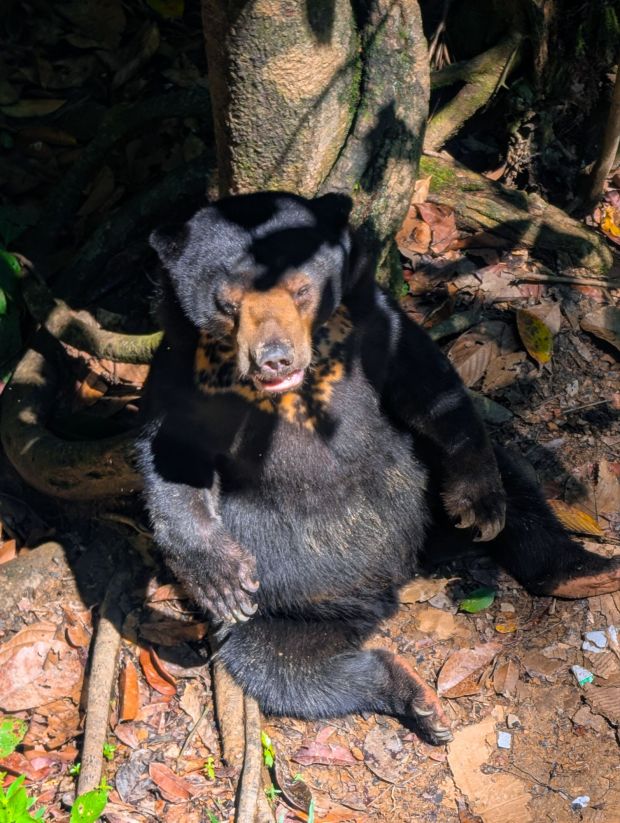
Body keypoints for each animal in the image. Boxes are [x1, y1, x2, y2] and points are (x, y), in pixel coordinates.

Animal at [137, 190, 620, 745]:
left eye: (301, 290)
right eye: (228, 303)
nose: (274, 359)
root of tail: (394, 584)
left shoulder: (377, 322)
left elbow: (430, 385)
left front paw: (477, 502)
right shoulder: (181, 366)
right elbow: (171, 458)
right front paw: (222, 580)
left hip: (429, 494)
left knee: (514, 483)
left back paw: (586, 571)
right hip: (287, 601)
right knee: (278, 666)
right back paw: (419, 700)